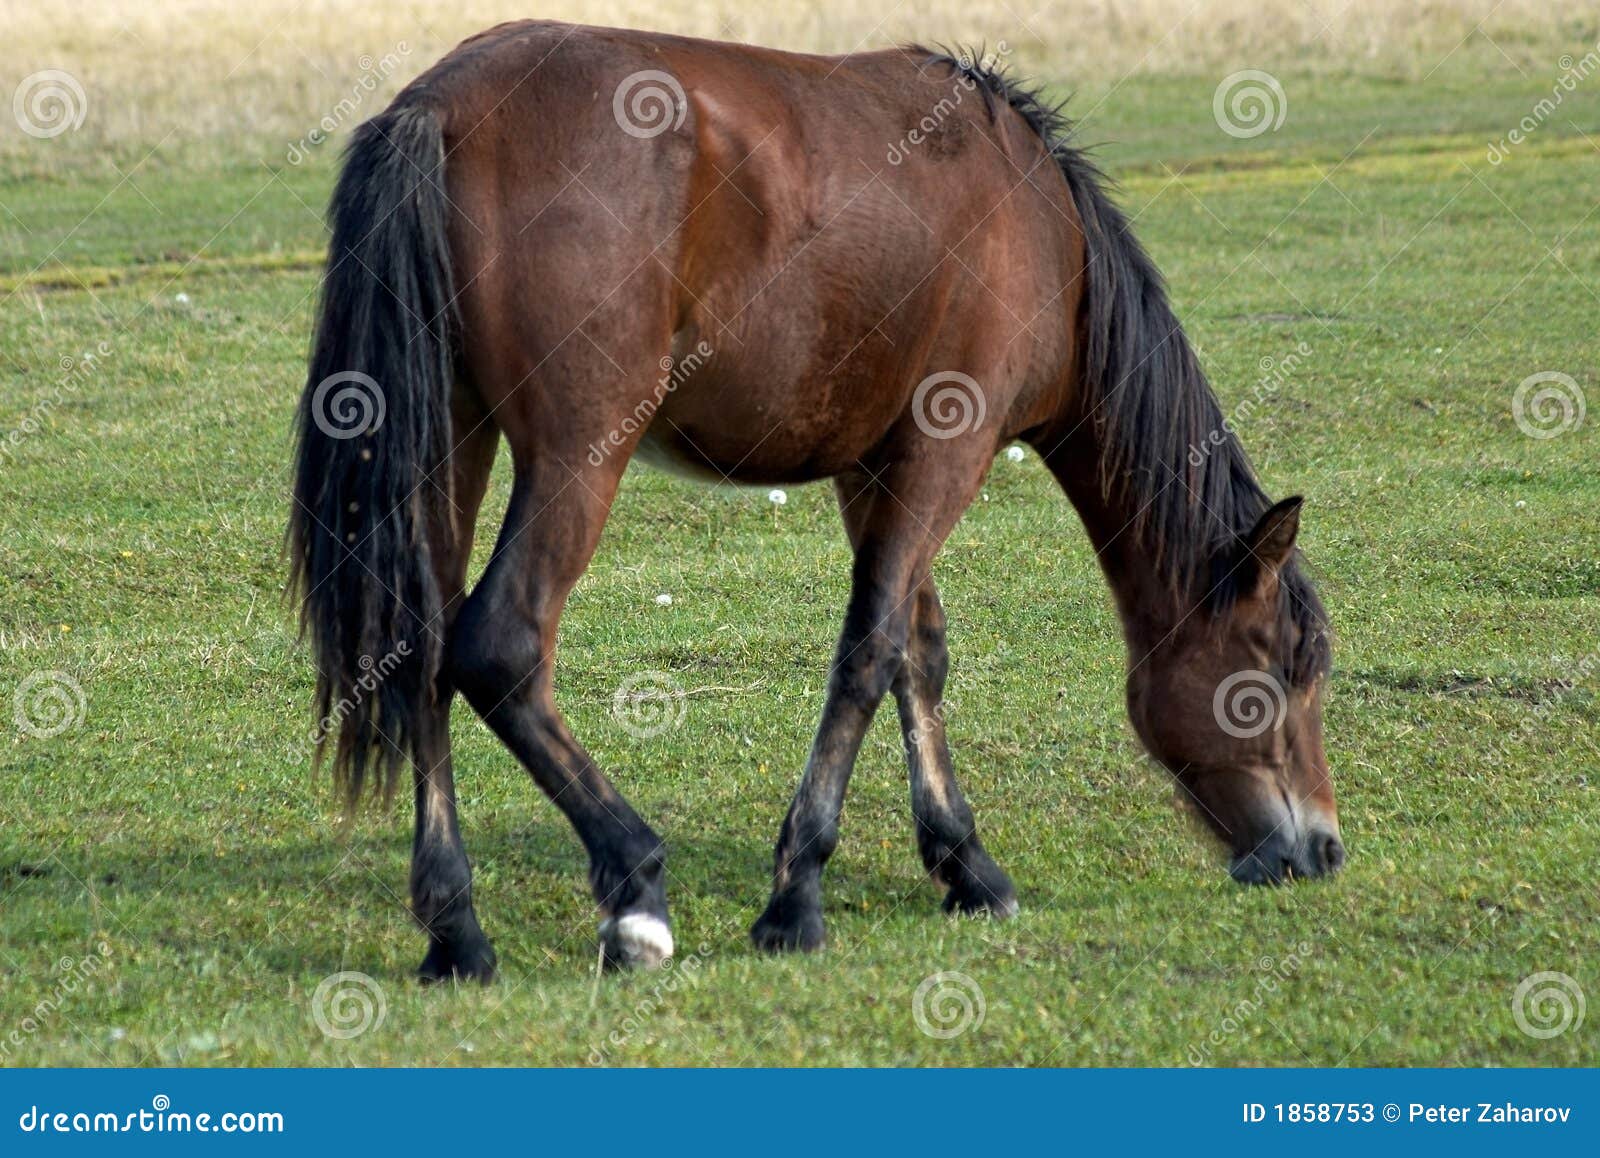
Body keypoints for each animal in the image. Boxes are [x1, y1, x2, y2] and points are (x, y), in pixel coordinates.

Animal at [288, 20, 1342, 983]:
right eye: (1284, 670)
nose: (1323, 849)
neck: (1048, 235)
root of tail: (439, 105)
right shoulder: (944, 455)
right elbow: (868, 657)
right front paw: (796, 897)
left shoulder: (872, 468)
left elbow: (920, 654)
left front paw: (965, 863)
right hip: (580, 455)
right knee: (498, 647)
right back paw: (635, 890)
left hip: (451, 443)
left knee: (420, 651)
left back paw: (457, 932)